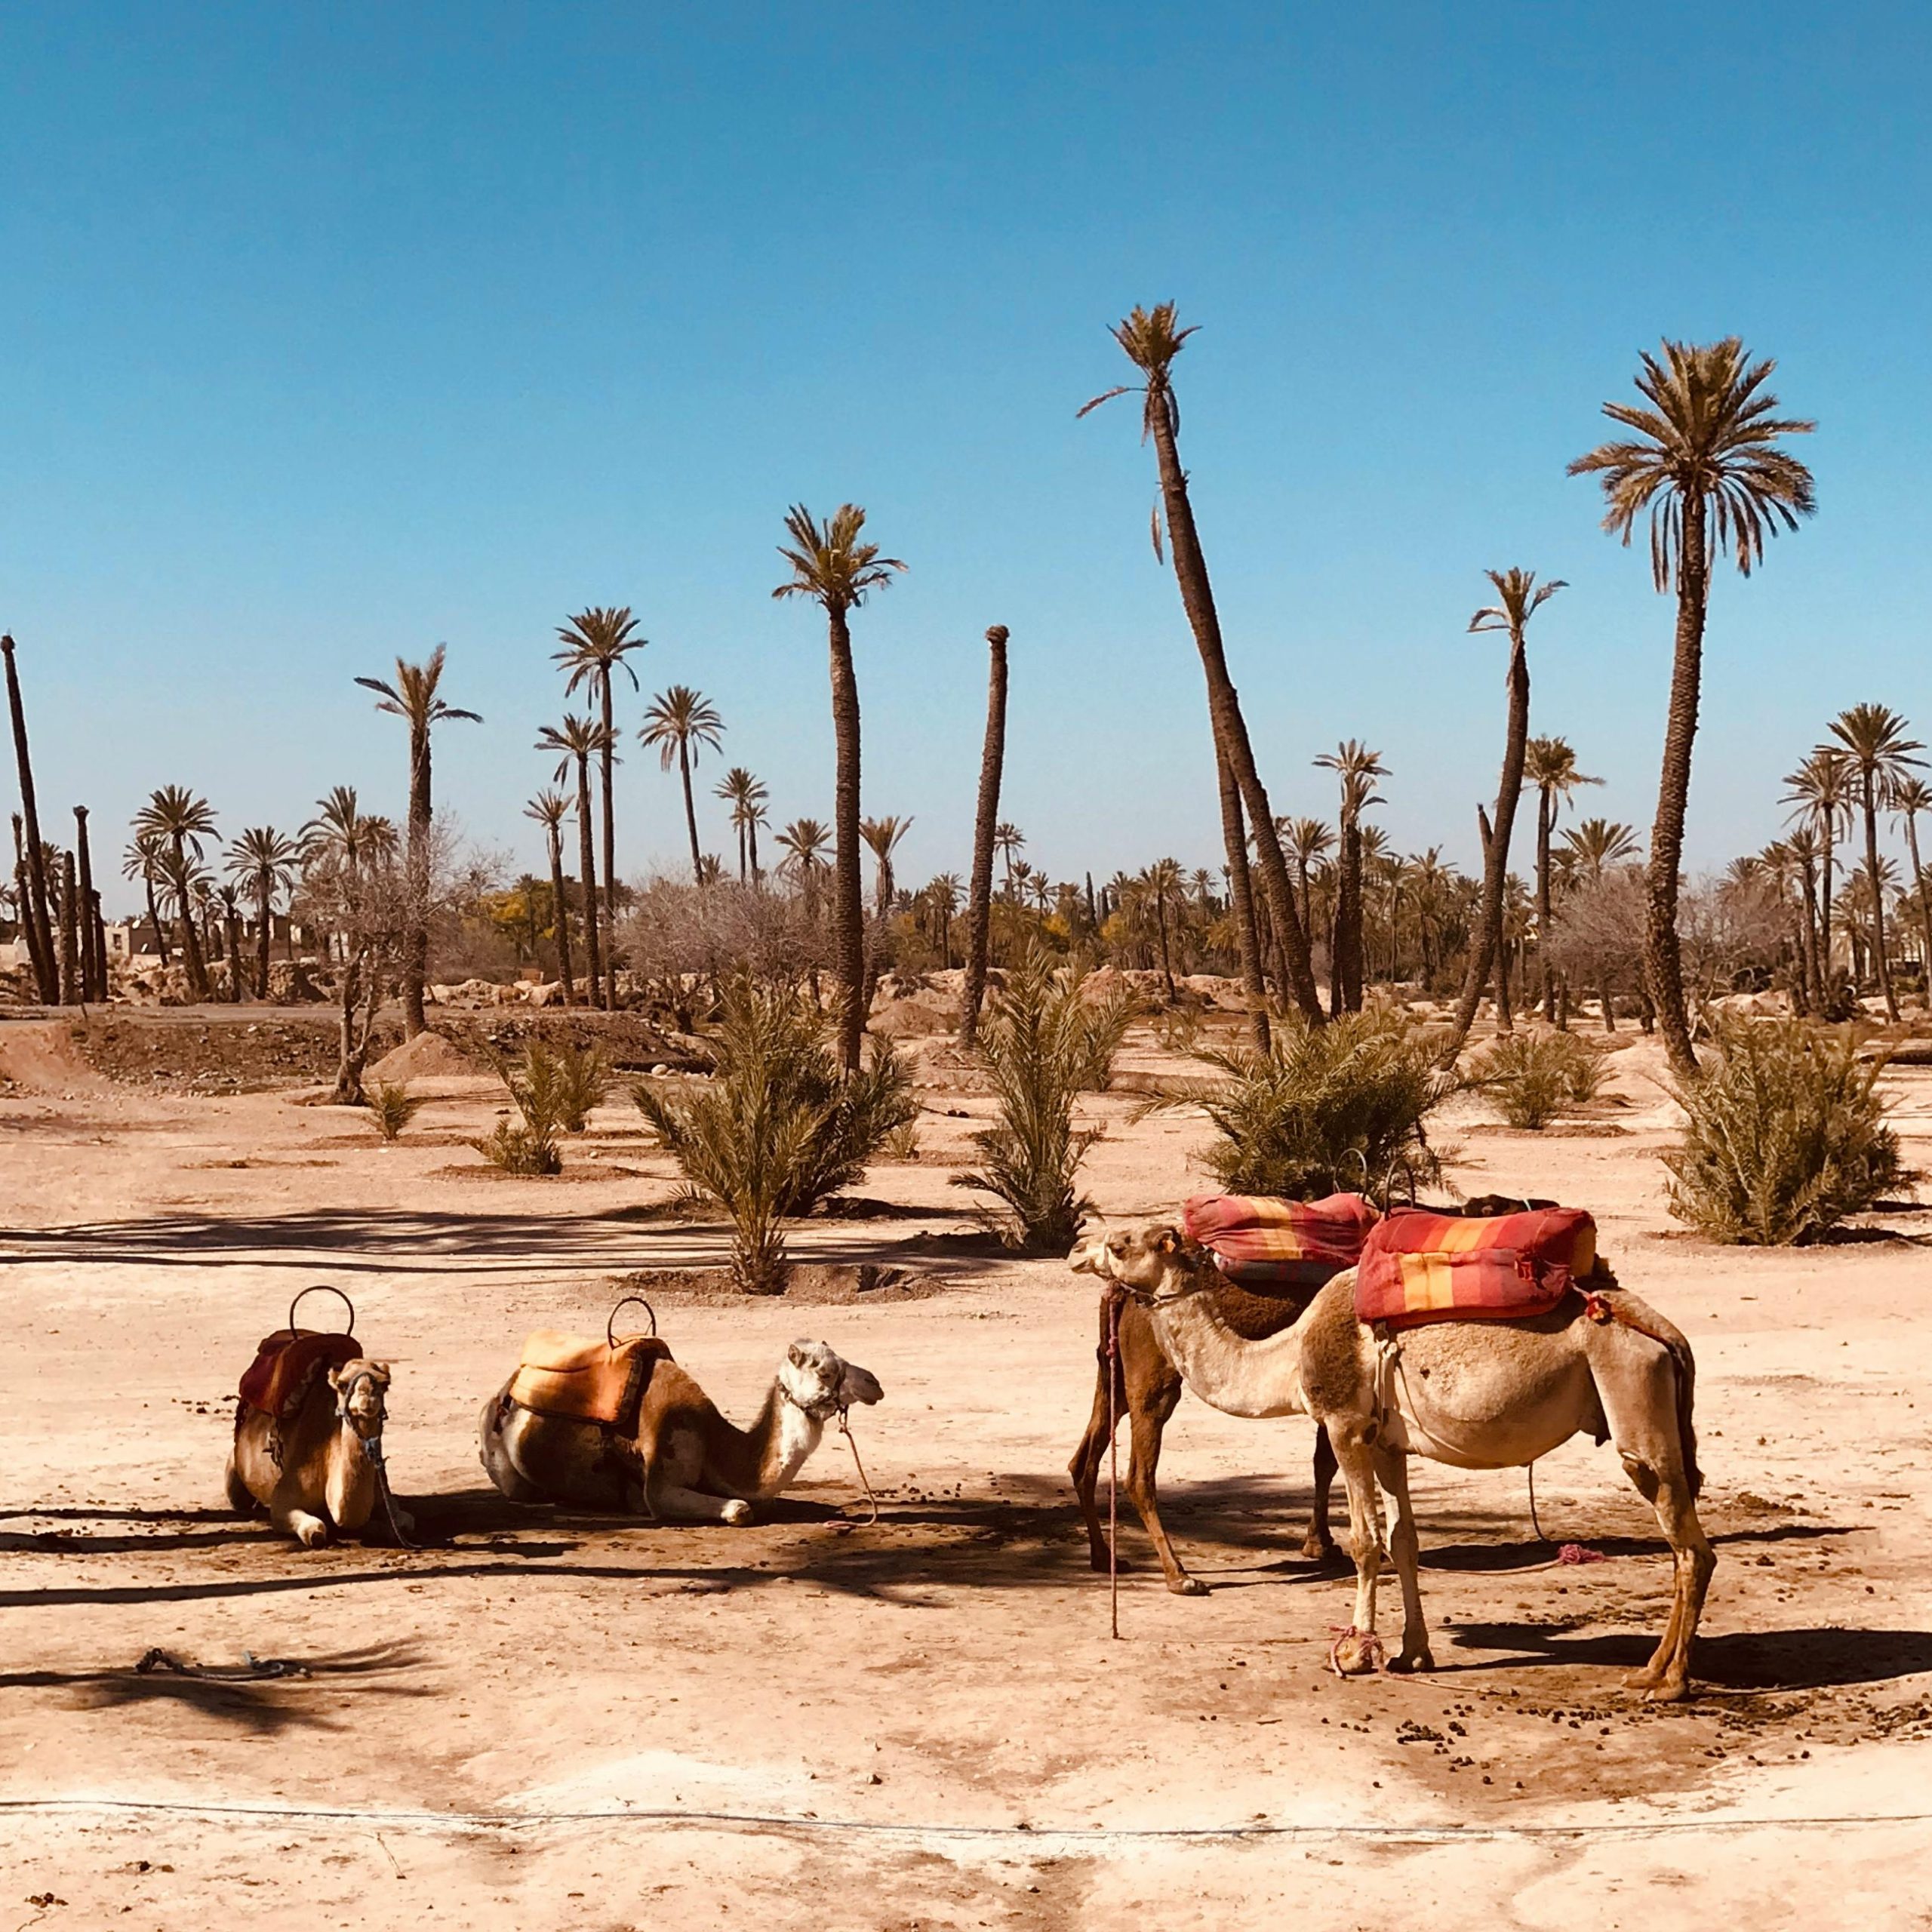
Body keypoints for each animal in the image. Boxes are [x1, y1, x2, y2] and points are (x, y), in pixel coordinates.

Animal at [227, 1356, 412, 1548]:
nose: (367, 1397)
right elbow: (315, 1531)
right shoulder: (284, 1499)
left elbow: (404, 1523)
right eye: (342, 1384)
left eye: (385, 1384)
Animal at [479, 1337, 883, 1522]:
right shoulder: (661, 1481)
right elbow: (741, 1509)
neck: (715, 1443)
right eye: (825, 1372)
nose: (874, 1383)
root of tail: (500, 1395)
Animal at [1069, 1284, 1337, 1593]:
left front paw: (1321, 1543)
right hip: (1153, 1374)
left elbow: (1325, 1461)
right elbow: (1331, 1461)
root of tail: (1118, 1290)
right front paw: (1321, 1545)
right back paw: (1178, 1575)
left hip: (1114, 1369)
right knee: (1139, 1477)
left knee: (1084, 1461)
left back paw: (1103, 1557)